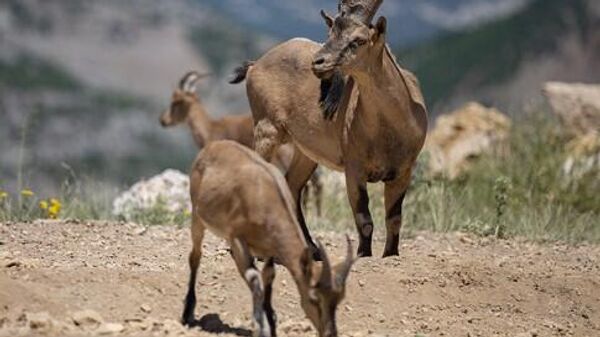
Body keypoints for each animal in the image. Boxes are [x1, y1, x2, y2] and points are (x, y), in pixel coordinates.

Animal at [180, 139, 354, 336]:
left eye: (338, 300)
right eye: (313, 298)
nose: (329, 333)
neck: (266, 200)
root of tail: (211, 146)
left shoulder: (270, 248)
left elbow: (268, 277)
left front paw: (270, 321)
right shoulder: (237, 239)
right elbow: (254, 278)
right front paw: (260, 327)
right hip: (197, 217)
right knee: (195, 256)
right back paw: (187, 312)